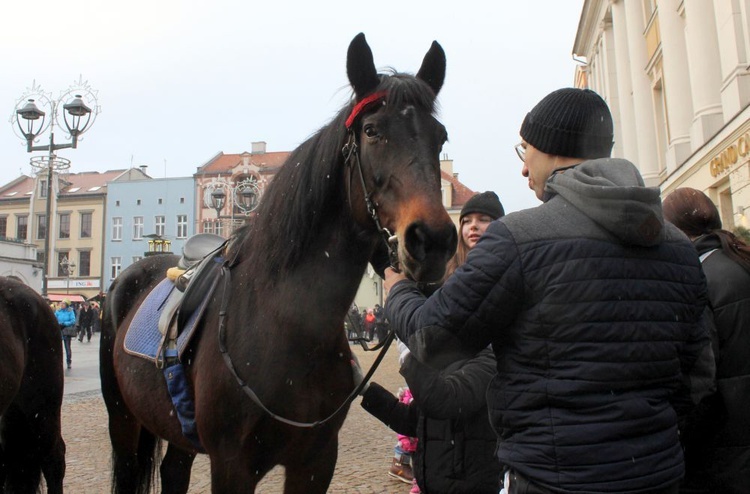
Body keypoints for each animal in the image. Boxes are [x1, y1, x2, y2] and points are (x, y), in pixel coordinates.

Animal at [100, 32, 458, 492]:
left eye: (439, 137)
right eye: (371, 130)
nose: (433, 240)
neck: (285, 323)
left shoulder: (316, 462)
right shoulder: (232, 466)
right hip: (124, 421)